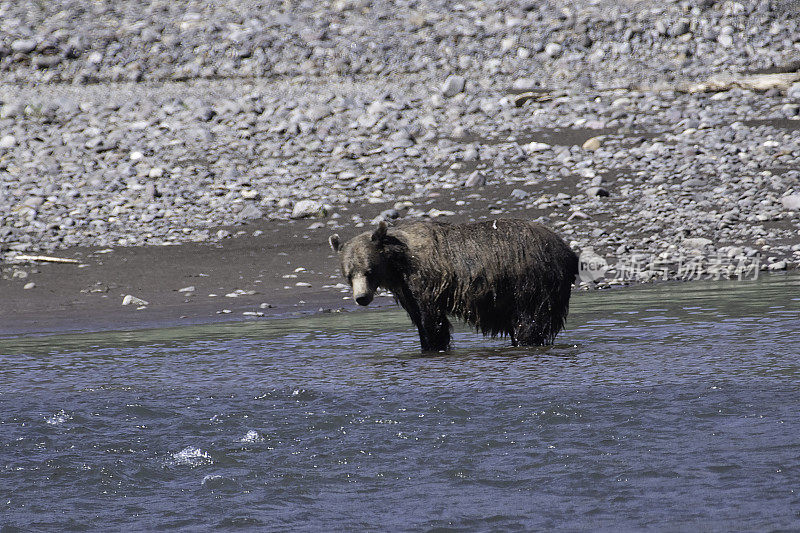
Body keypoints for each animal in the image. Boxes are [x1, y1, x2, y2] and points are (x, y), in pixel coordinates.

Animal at [328, 218, 580, 352]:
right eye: (349, 274)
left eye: (368, 271)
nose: (361, 297)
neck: (396, 265)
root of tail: (567, 251)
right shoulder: (406, 290)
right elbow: (419, 318)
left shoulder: (424, 281)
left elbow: (431, 320)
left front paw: (435, 346)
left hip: (531, 282)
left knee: (530, 321)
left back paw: (526, 342)